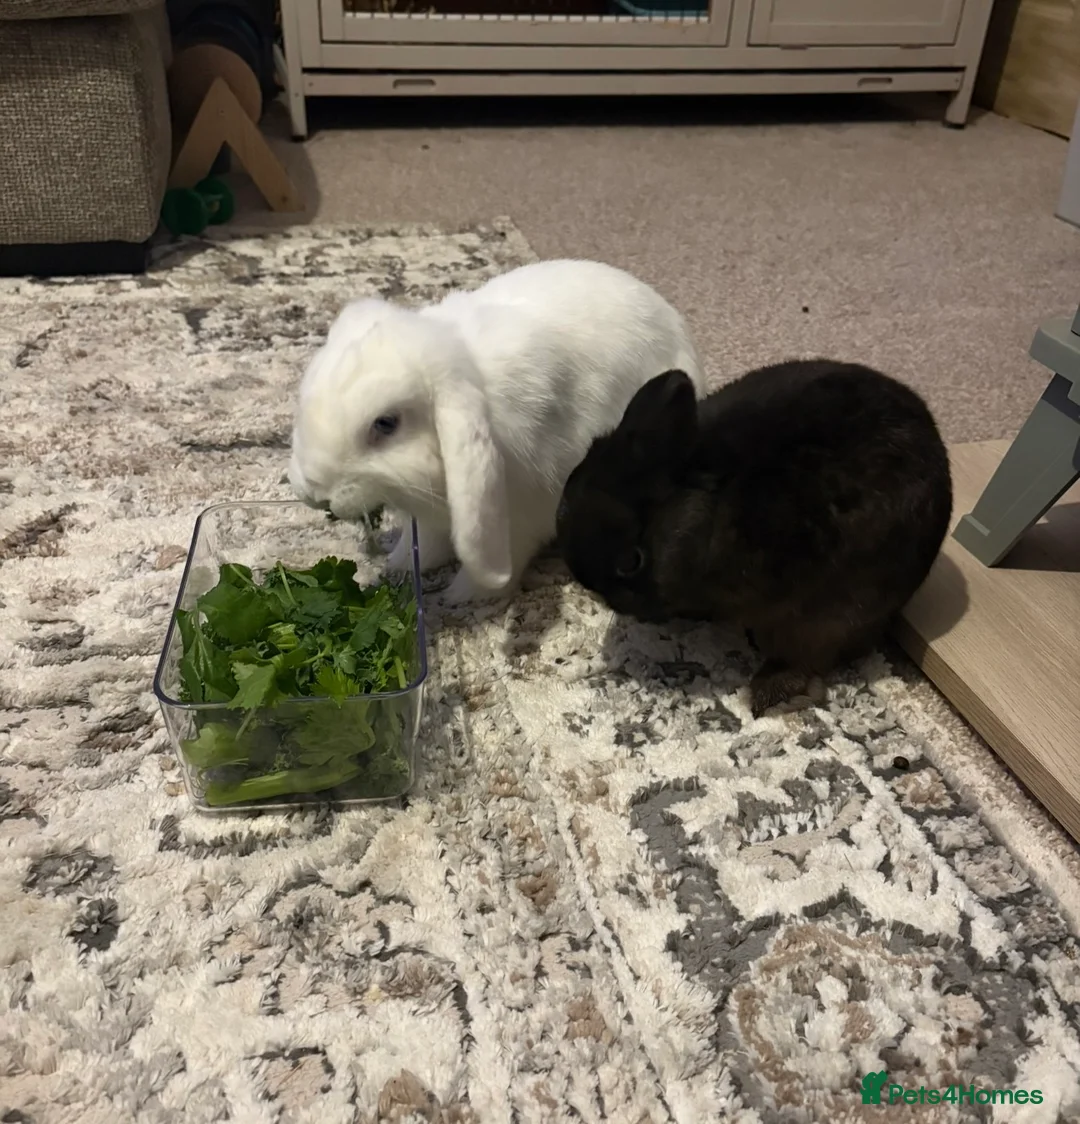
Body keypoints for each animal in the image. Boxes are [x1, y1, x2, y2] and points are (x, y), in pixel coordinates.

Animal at [288, 259, 705, 603]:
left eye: (386, 424)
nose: (315, 494)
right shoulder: (428, 518)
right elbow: (425, 543)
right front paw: (401, 565)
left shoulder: (524, 511)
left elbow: (503, 557)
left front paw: (462, 598)